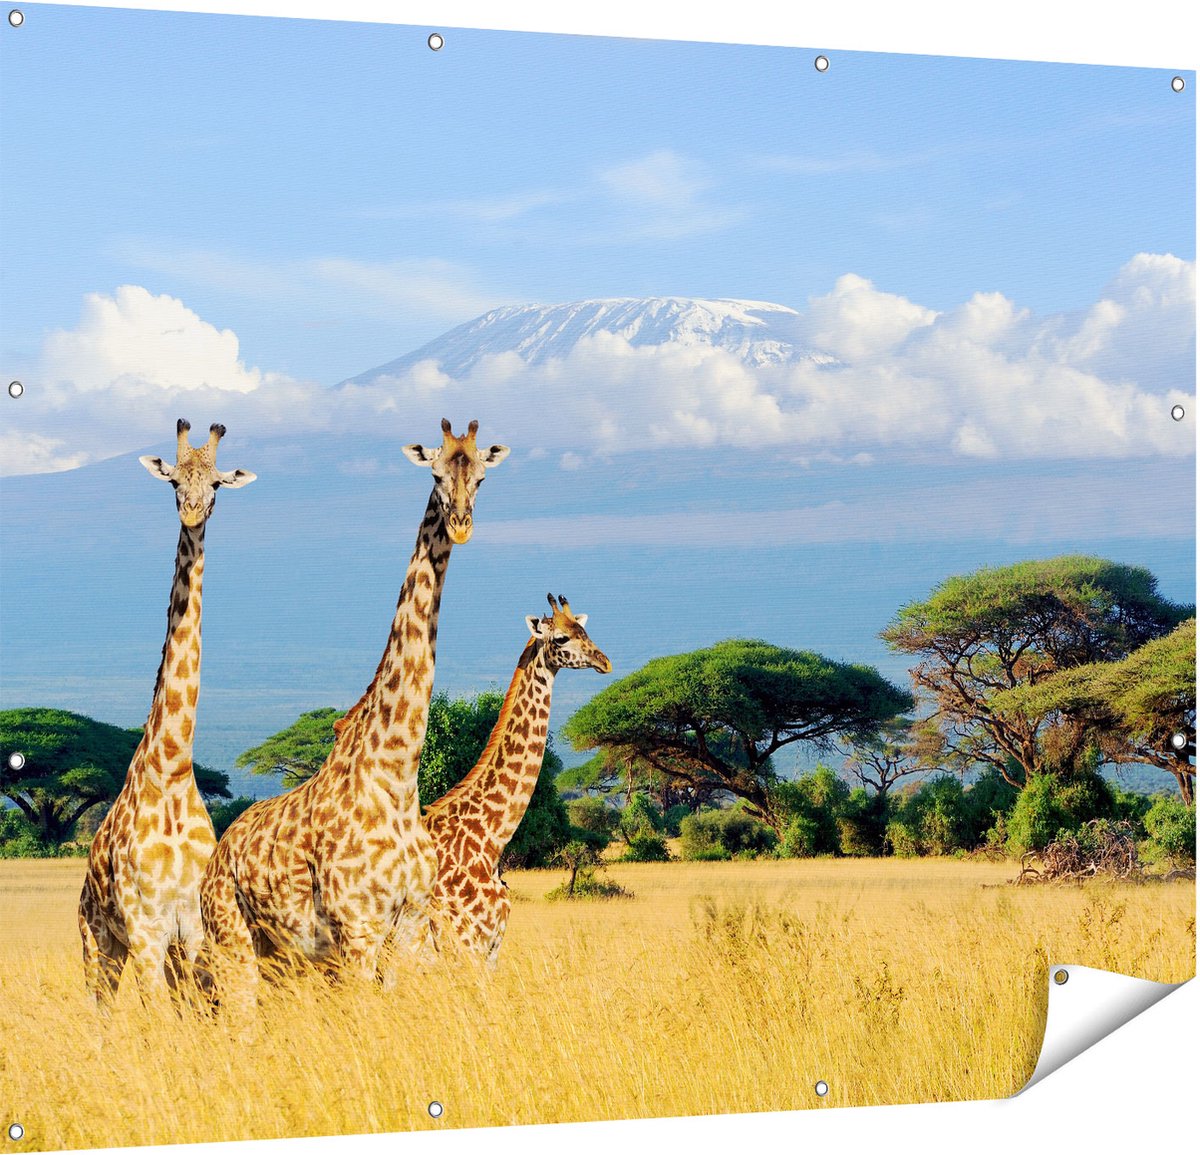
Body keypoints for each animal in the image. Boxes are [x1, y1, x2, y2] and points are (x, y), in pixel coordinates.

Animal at [78, 420, 256, 1009]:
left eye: (217, 484)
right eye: (174, 481)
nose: (193, 512)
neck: (174, 767)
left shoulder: (193, 928)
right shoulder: (146, 928)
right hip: (97, 943)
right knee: (100, 1010)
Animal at [199, 419, 508, 1012]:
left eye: (482, 476)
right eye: (436, 474)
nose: (460, 526)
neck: (397, 775)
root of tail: (219, 853)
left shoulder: (408, 929)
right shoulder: (358, 931)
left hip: (284, 957)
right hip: (233, 941)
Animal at [422, 595, 611, 964]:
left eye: (585, 630)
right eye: (562, 638)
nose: (605, 662)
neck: (490, 838)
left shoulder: (490, 950)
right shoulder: (465, 946)